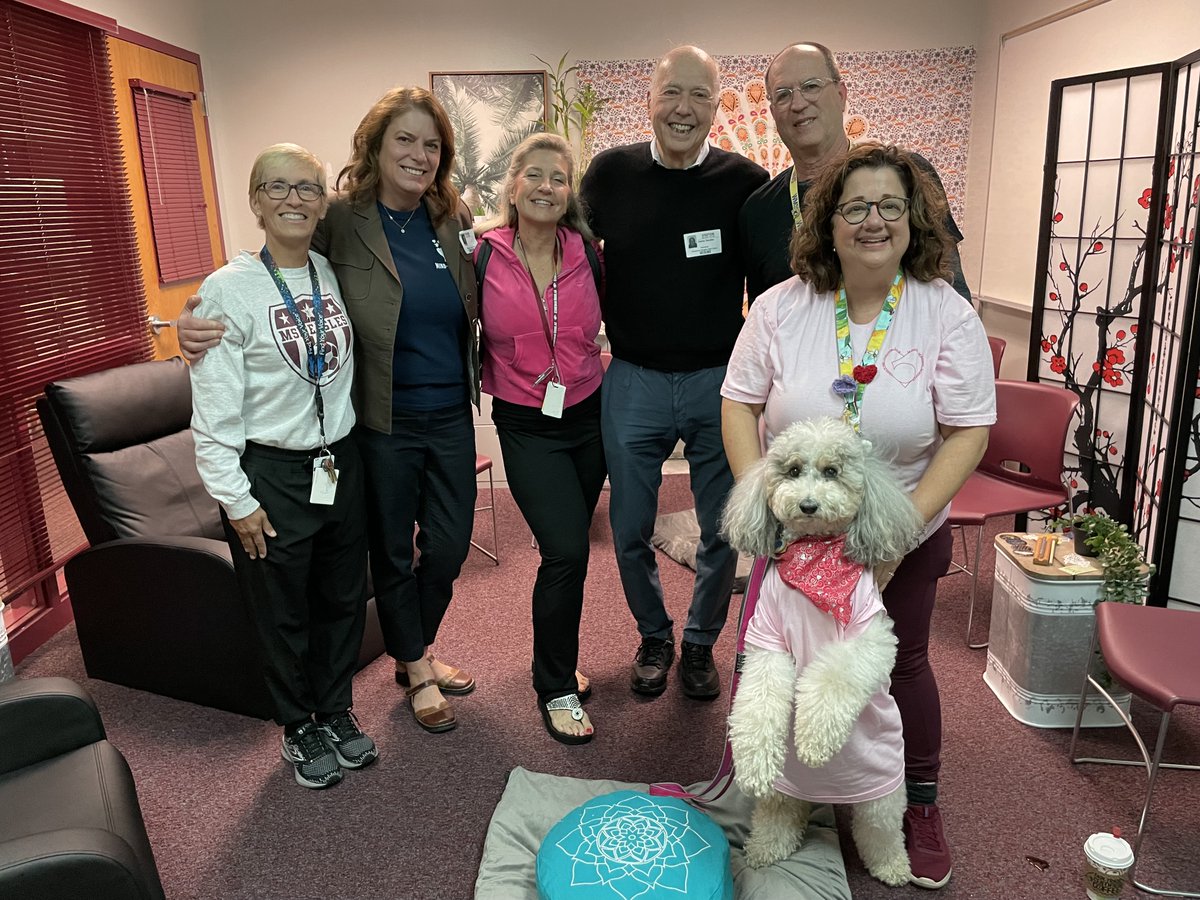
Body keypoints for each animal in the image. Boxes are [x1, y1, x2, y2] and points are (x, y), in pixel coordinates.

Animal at [720, 417, 916, 888]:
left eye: (832, 472)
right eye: (792, 471)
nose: (807, 505)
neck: (815, 558)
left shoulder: (872, 637)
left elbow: (833, 680)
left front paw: (812, 741)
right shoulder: (766, 642)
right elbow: (758, 703)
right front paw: (752, 764)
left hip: (883, 795)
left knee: (880, 828)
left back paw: (892, 866)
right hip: (785, 793)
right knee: (780, 812)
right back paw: (765, 849)